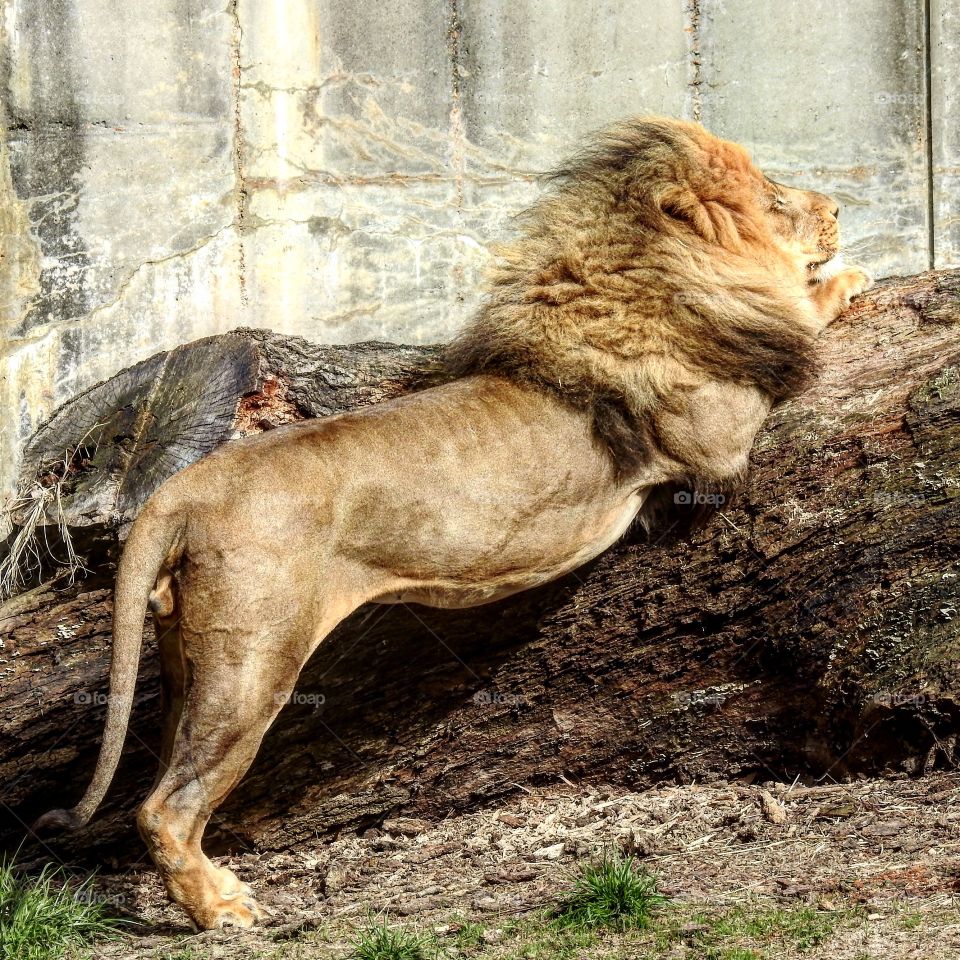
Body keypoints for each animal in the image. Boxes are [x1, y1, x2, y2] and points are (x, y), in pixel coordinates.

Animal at [33, 117, 871, 930]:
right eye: (776, 201)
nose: (838, 207)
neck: (632, 279)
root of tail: (181, 489)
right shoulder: (718, 436)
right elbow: (800, 315)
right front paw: (845, 278)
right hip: (252, 662)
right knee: (165, 807)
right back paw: (222, 908)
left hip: (187, 657)